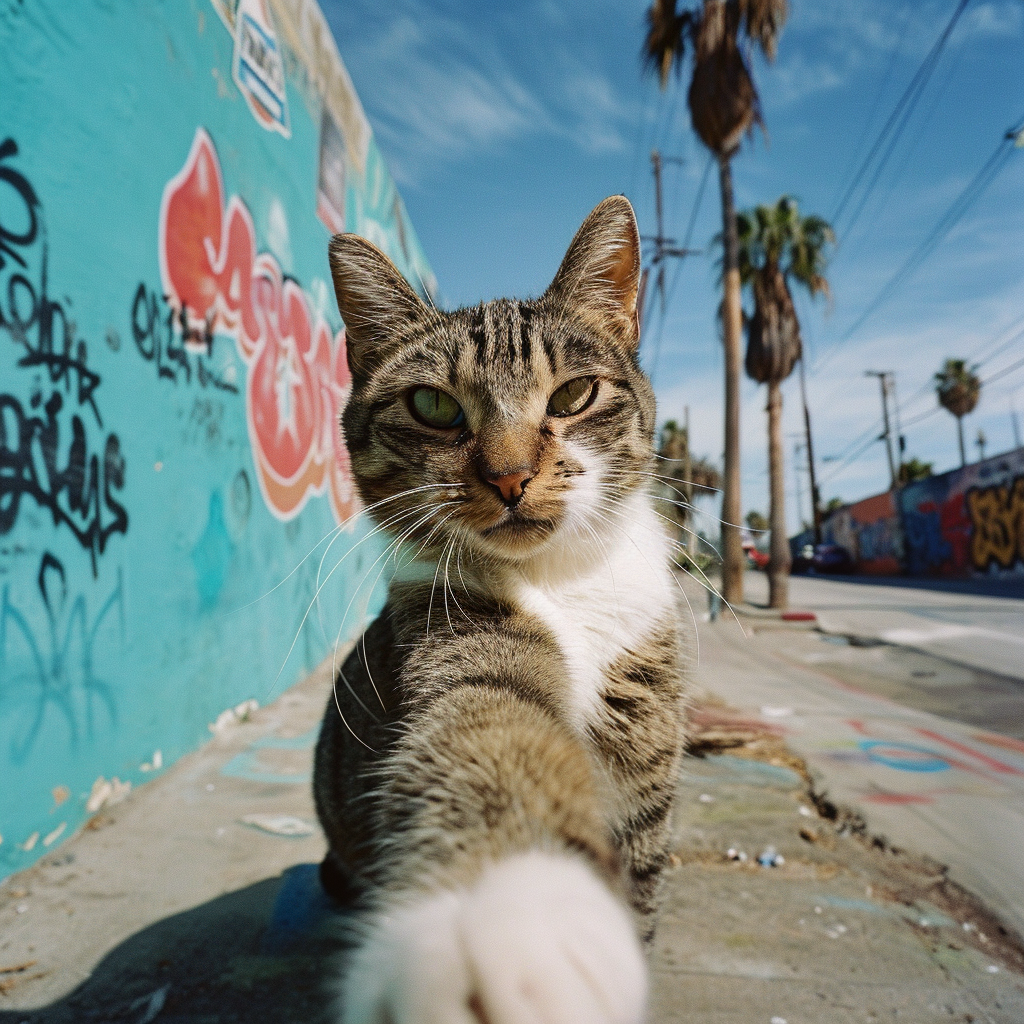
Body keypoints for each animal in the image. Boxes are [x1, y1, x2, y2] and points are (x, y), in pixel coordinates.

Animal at [313, 193, 688, 1024]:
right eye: (432, 405)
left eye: (574, 396)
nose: (510, 476)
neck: (560, 582)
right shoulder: (452, 635)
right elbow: (490, 724)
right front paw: (509, 914)